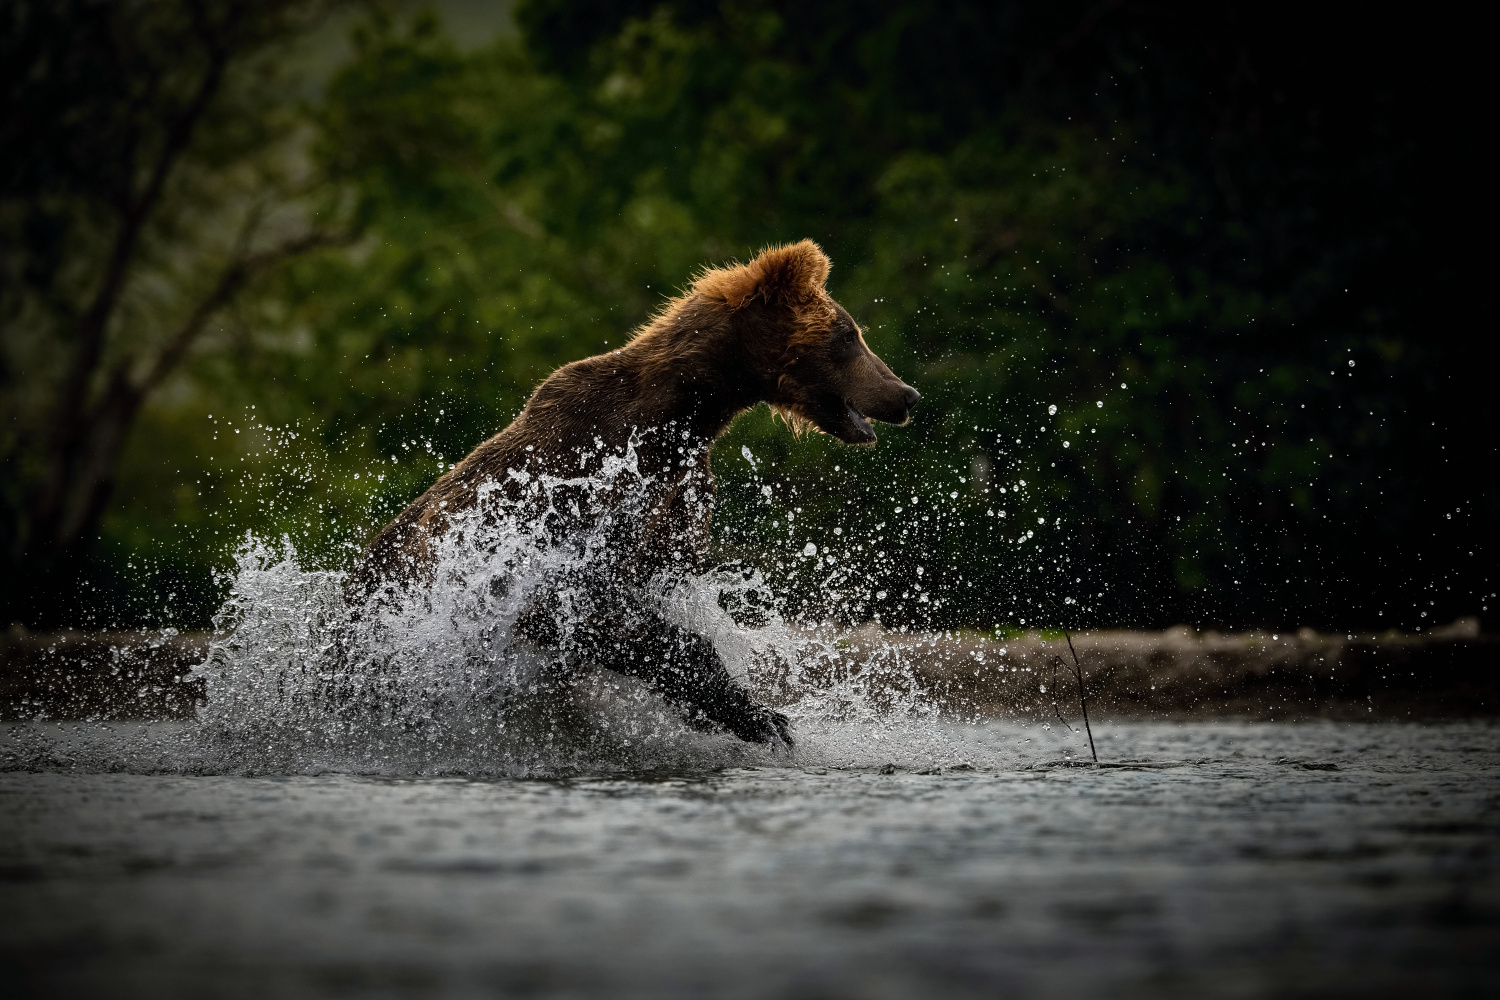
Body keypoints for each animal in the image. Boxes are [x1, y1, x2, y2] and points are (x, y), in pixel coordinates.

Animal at [348, 239, 912, 743]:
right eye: (849, 335)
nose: (906, 394)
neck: (679, 415)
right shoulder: (575, 487)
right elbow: (577, 606)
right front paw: (757, 714)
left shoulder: (681, 492)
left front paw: (750, 711)